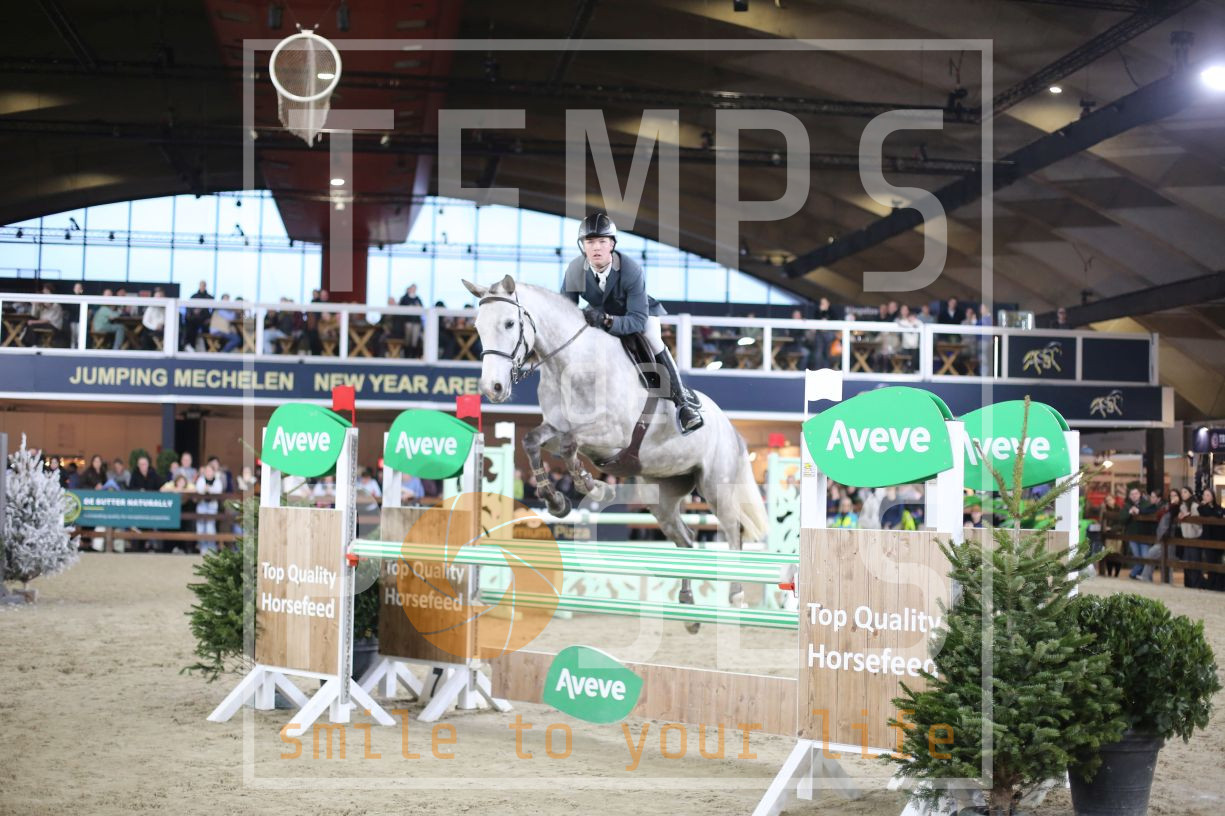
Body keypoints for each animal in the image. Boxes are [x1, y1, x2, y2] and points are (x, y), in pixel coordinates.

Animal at [462, 276, 769, 630]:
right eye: (478, 327)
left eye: (510, 323)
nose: (492, 389)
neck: (571, 365)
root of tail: (731, 427)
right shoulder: (556, 428)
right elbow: (534, 442)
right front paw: (558, 501)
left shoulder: (614, 435)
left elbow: (570, 444)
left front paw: (593, 487)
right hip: (661, 495)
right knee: (686, 538)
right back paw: (689, 610)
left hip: (716, 486)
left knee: (733, 532)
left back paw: (736, 598)